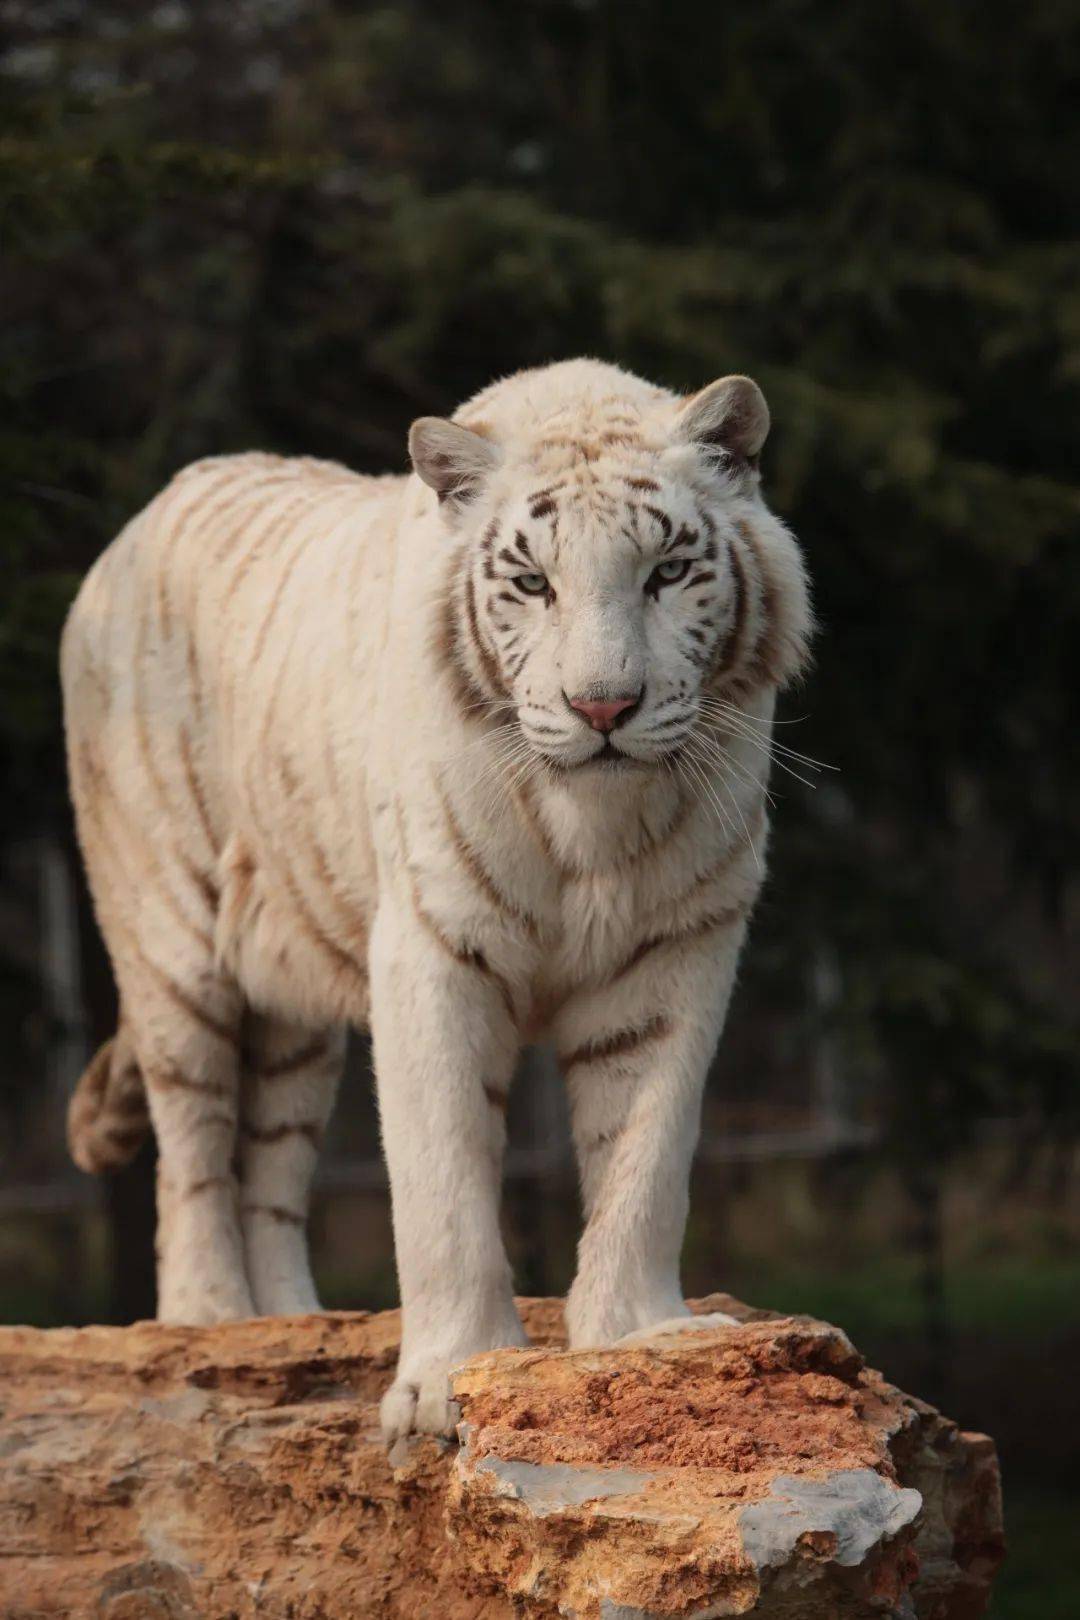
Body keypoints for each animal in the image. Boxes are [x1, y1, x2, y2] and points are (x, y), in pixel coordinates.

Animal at [59, 361, 809, 1438]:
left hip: (290, 1000)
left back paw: (291, 1327)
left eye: (667, 572)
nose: (603, 708)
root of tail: (135, 525)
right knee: (192, 1145)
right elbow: (442, 1175)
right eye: (533, 583)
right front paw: (443, 1382)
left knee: (270, 1163)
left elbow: (645, 1158)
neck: (593, 830)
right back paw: (210, 1321)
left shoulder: (677, 949)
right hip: (170, 933)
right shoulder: (432, 945)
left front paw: (635, 1339)